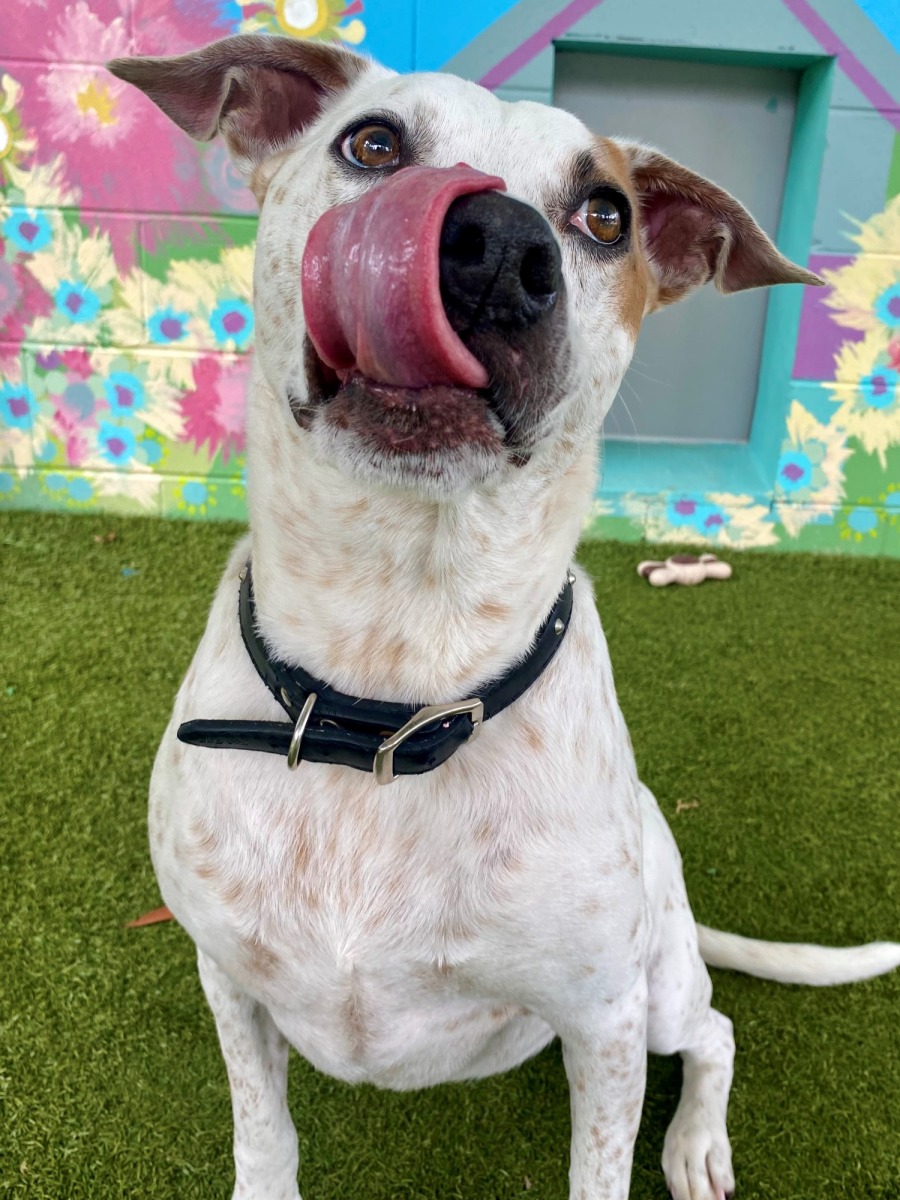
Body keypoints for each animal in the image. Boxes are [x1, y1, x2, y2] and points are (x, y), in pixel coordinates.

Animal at [109, 36, 900, 1200]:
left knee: (714, 1033)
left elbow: (601, 1164)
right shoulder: (228, 976)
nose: (492, 246)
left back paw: (697, 1146)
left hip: (659, 984)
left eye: (605, 215)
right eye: (372, 144)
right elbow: (264, 1133)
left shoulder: (605, 1017)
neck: (389, 690)